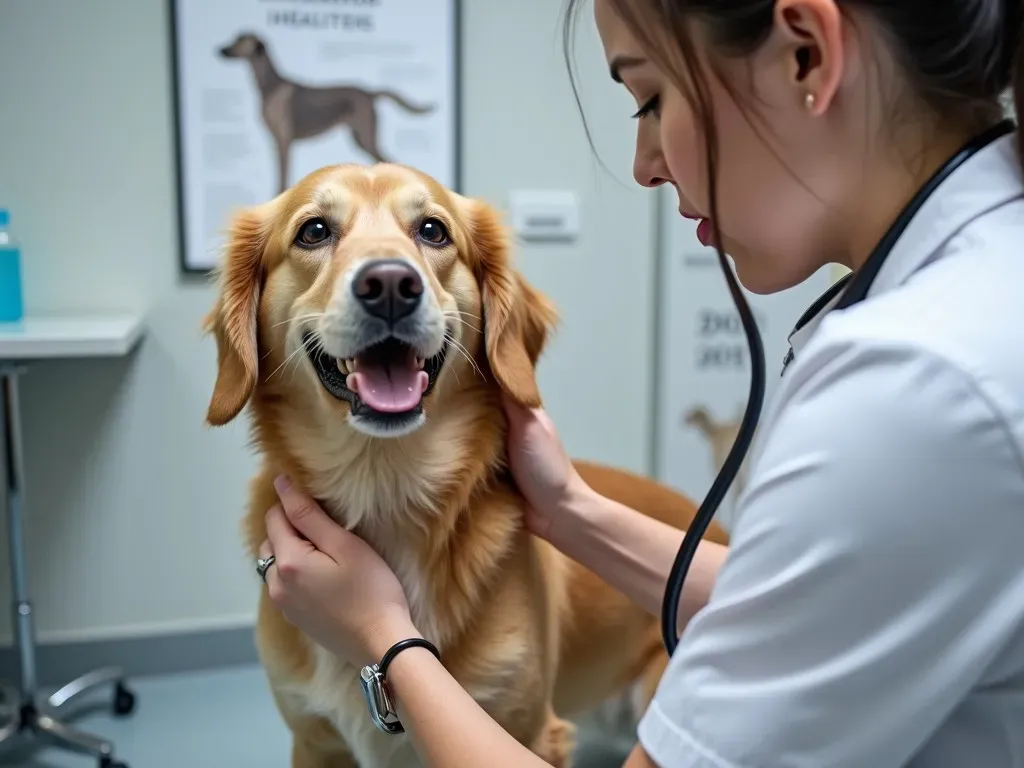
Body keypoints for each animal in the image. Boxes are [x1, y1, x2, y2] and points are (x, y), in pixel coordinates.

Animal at [201, 163, 729, 768]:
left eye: (433, 230)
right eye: (313, 231)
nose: (390, 285)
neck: (384, 482)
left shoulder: (529, 731)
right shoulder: (314, 741)